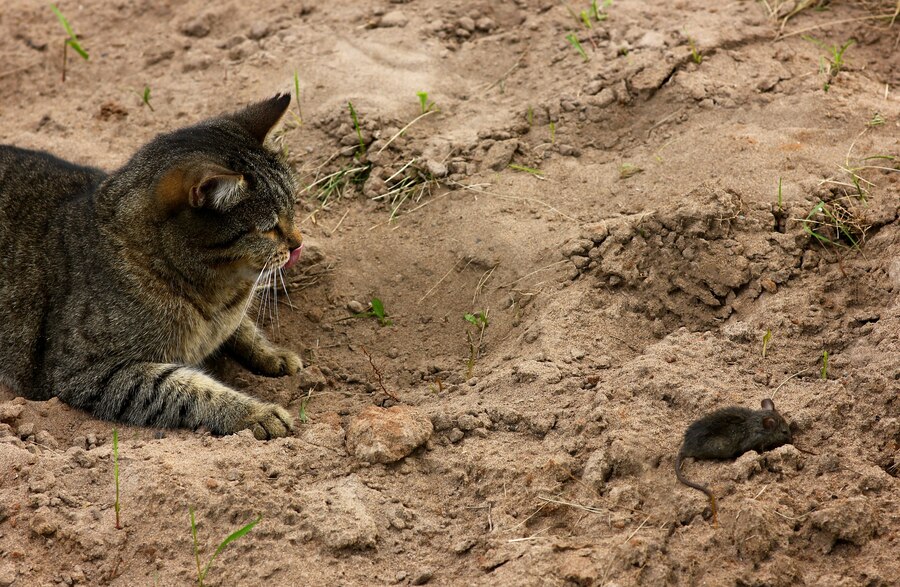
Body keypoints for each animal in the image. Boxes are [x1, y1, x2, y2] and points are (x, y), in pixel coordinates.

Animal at [0, 93, 304, 440]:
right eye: (268, 228)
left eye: (293, 207)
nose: (299, 243)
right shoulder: (86, 372)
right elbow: (190, 390)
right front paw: (255, 412)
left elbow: (243, 327)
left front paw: (273, 354)